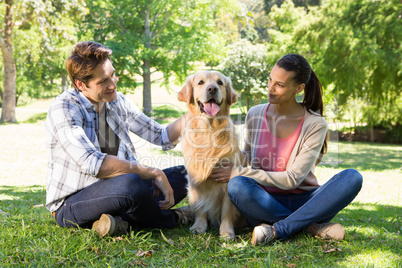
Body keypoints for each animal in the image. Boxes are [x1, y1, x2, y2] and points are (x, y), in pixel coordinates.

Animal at [178, 70, 242, 240]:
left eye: (220, 82)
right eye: (200, 82)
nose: (212, 89)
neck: (209, 131)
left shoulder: (227, 179)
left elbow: (226, 211)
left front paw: (226, 232)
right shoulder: (195, 179)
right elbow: (200, 206)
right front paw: (199, 226)